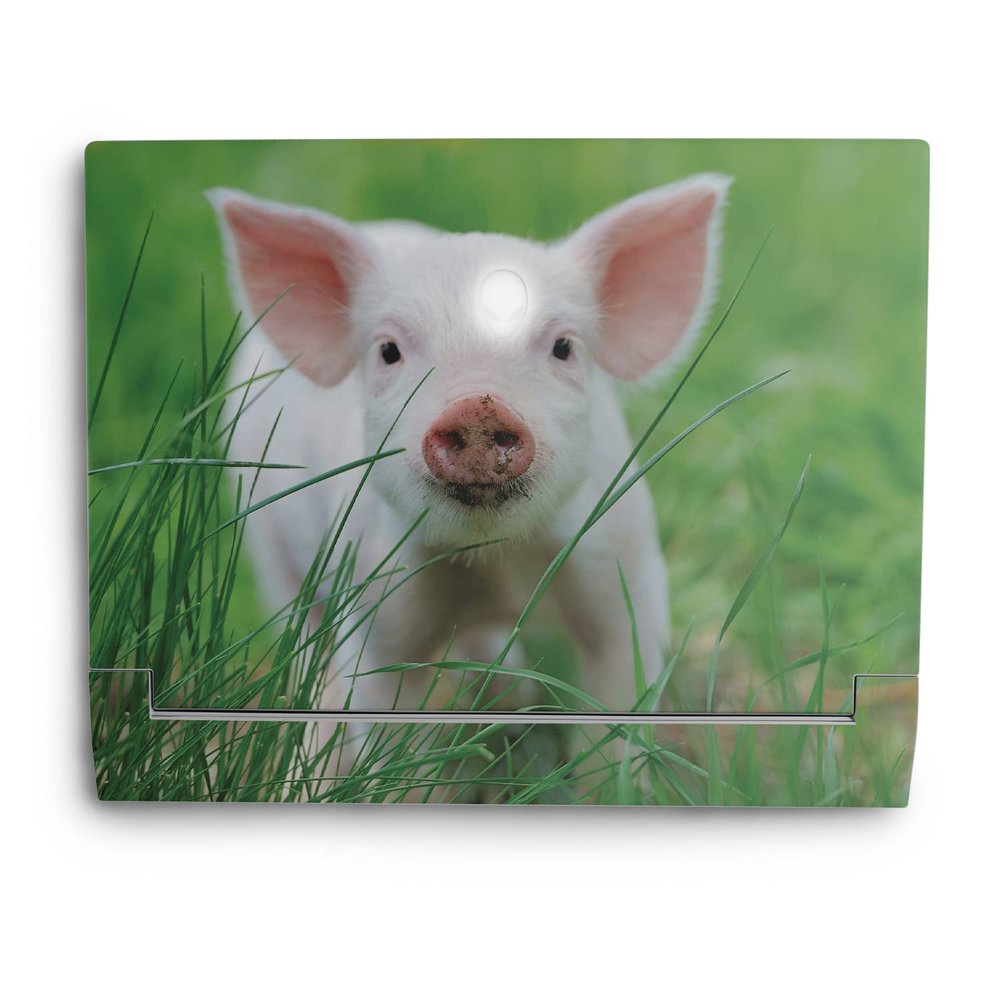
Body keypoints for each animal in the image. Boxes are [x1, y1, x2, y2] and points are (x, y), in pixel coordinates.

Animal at [210, 174, 729, 747]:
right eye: (388, 350)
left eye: (564, 346)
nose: (477, 407)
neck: (493, 561)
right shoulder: (373, 599)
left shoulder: (626, 575)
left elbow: (615, 709)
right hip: (267, 540)